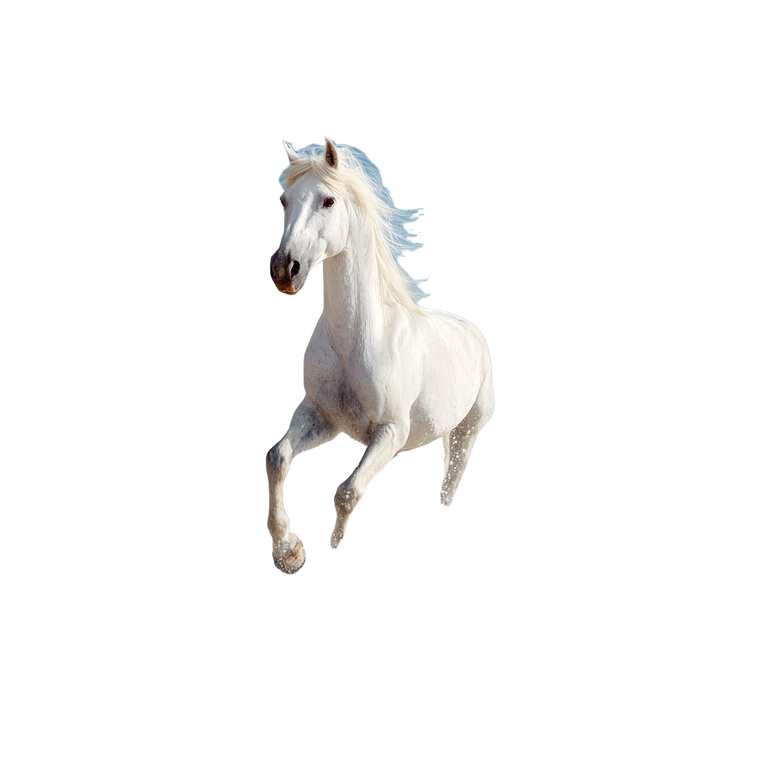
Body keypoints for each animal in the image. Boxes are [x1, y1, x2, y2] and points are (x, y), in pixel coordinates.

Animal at [264, 137, 498, 577]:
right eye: (284, 200)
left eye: (328, 200)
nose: (286, 269)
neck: (357, 341)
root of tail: (473, 331)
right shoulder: (319, 416)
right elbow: (278, 457)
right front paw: (289, 552)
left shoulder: (390, 432)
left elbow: (347, 490)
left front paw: (333, 546)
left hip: (469, 432)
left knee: (453, 480)